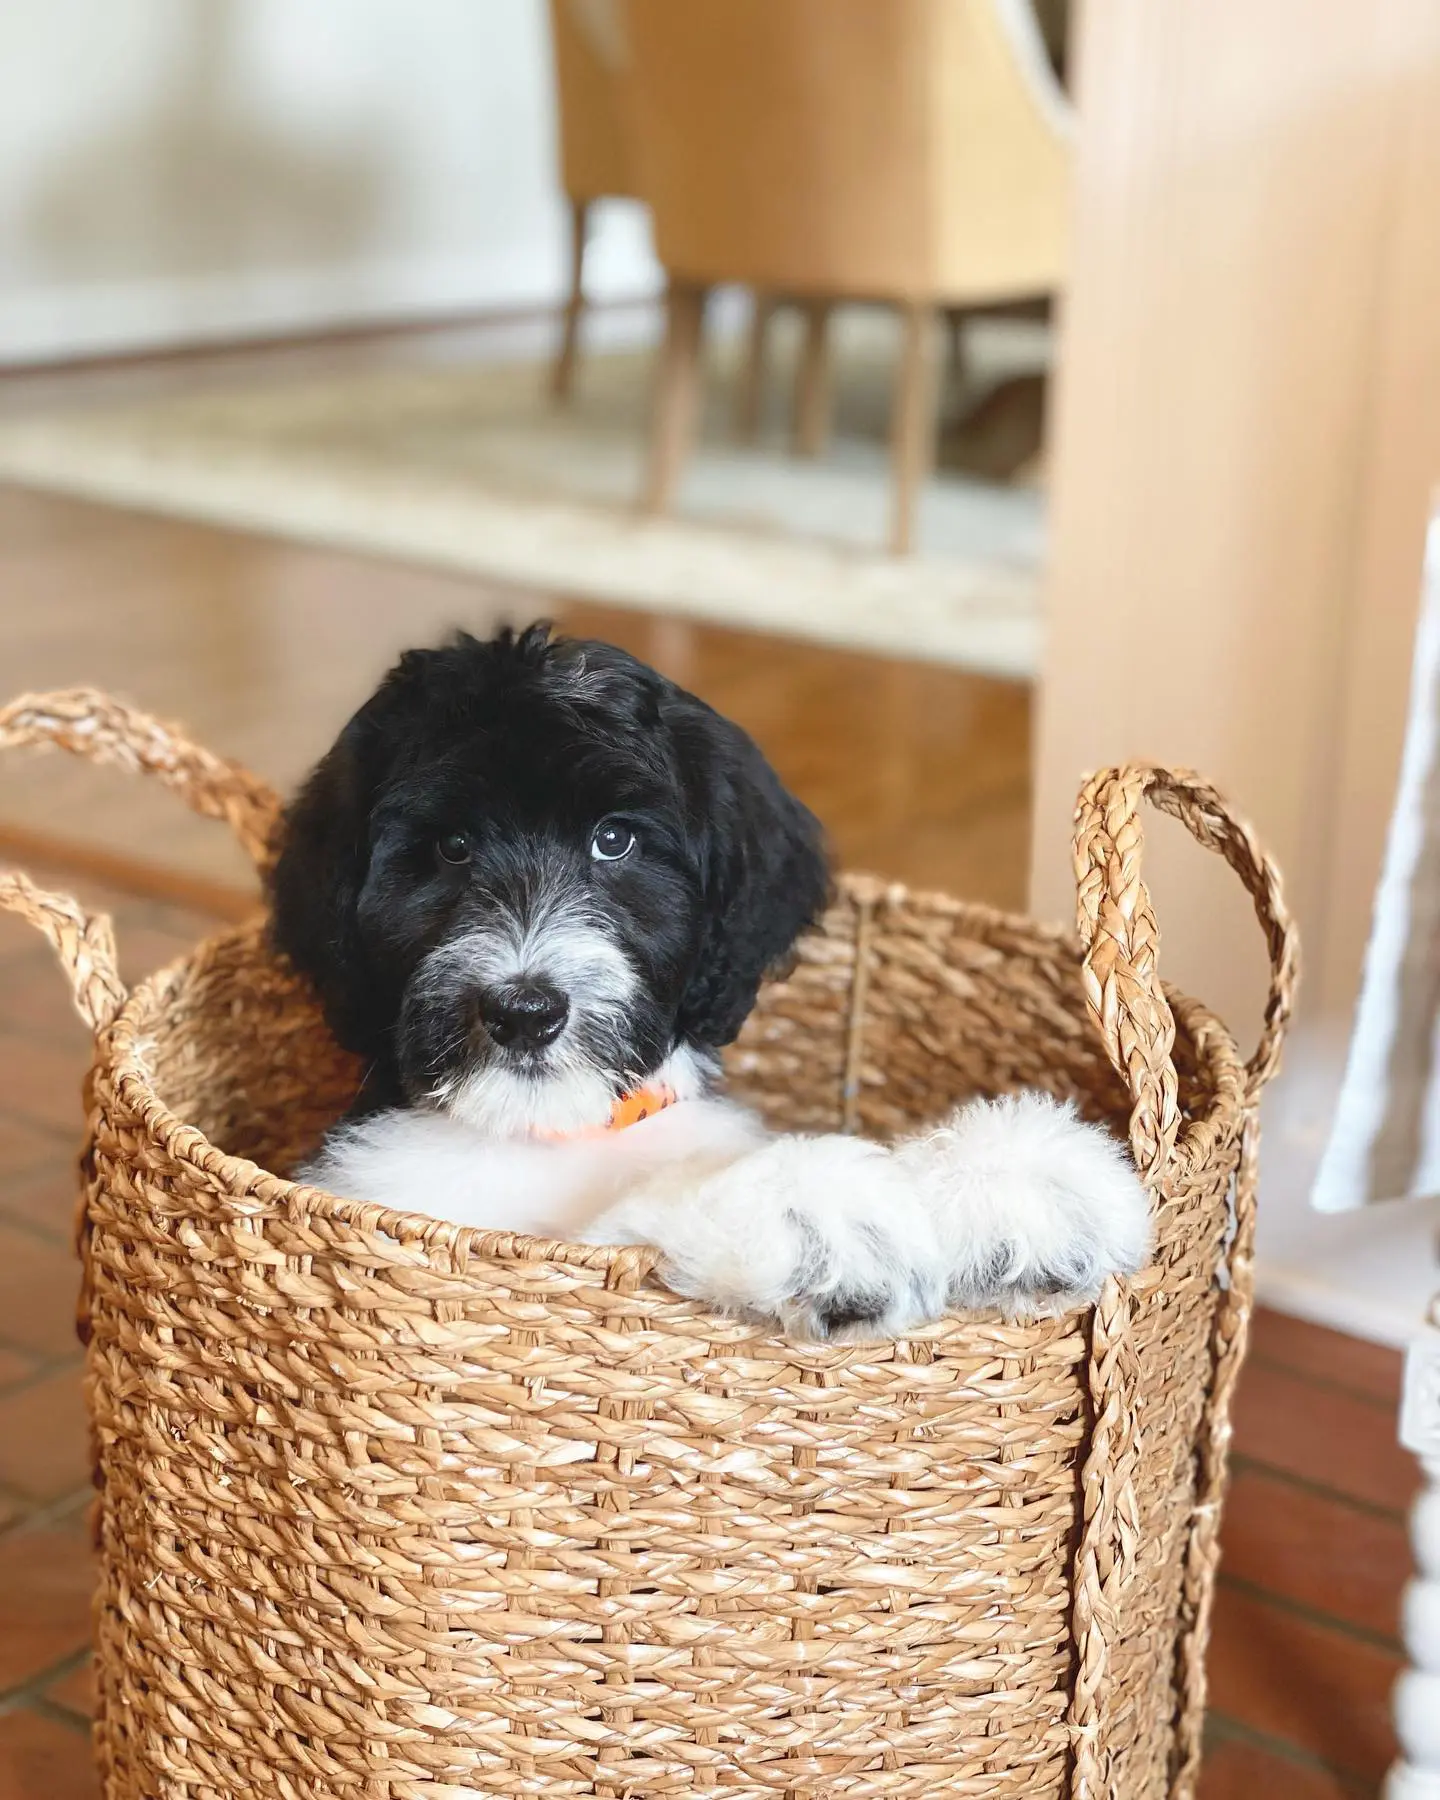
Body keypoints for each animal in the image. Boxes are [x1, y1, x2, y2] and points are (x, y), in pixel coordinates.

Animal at [270, 619, 1144, 1339]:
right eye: (451, 850)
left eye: (614, 840)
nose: (523, 1011)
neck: (548, 1135)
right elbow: (650, 1206)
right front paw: (813, 1204)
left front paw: (1015, 1176)